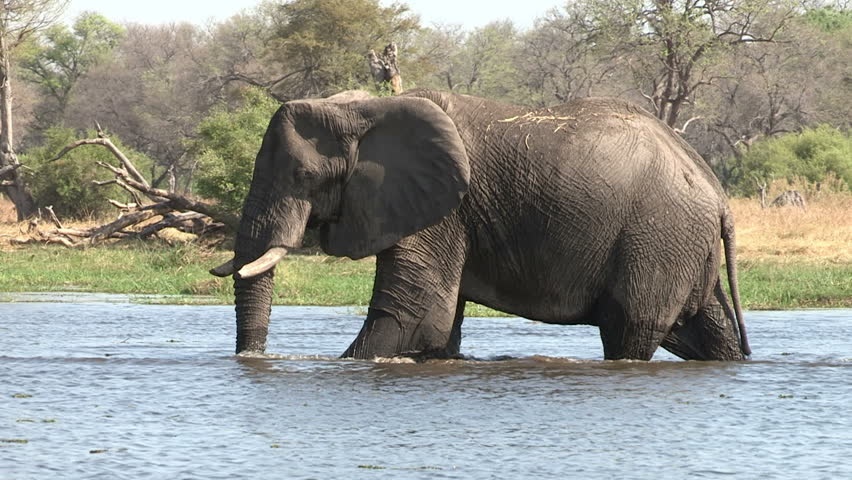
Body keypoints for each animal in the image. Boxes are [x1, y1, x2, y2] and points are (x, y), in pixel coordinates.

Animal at [213, 88, 752, 362]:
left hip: (658, 238)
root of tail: (716, 191)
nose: (252, 361)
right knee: (704, 329)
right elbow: (438, 326)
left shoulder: (442, 208)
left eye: (302, 177)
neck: (362, 108)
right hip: (680, 244)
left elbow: (415, 316)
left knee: (630, 328)